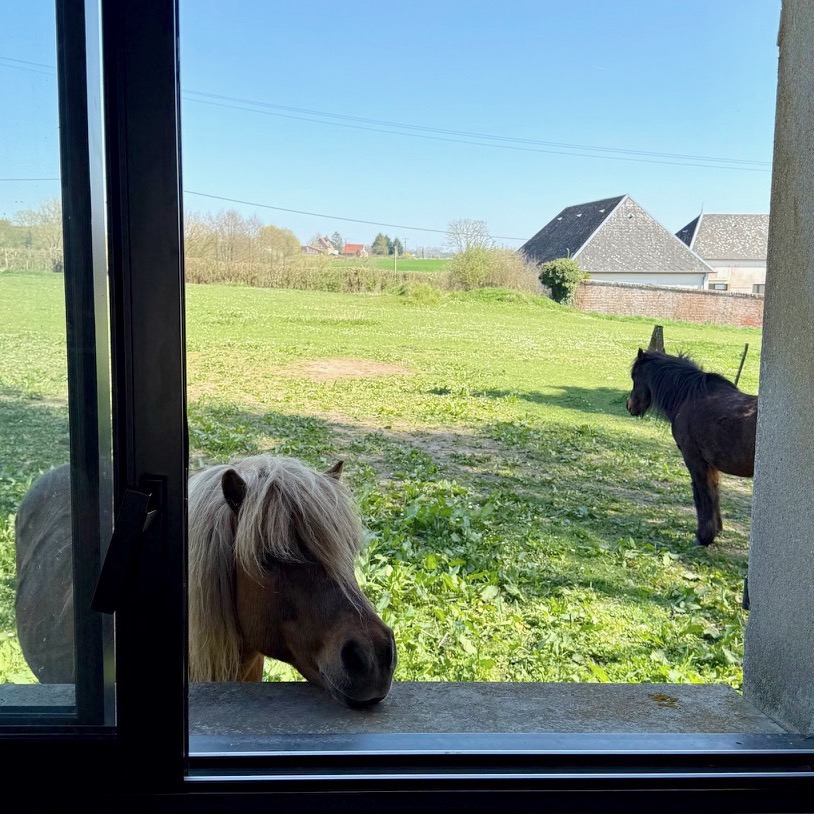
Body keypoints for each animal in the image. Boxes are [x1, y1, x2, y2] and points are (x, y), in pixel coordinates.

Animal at [626, 348, 757, 547]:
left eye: (634, 376)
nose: (630, 406)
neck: (689, 397)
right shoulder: (710, 464)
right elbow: (714, 492)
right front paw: (716, 530)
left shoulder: (694, 459)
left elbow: (702, 493)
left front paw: (704, 537)